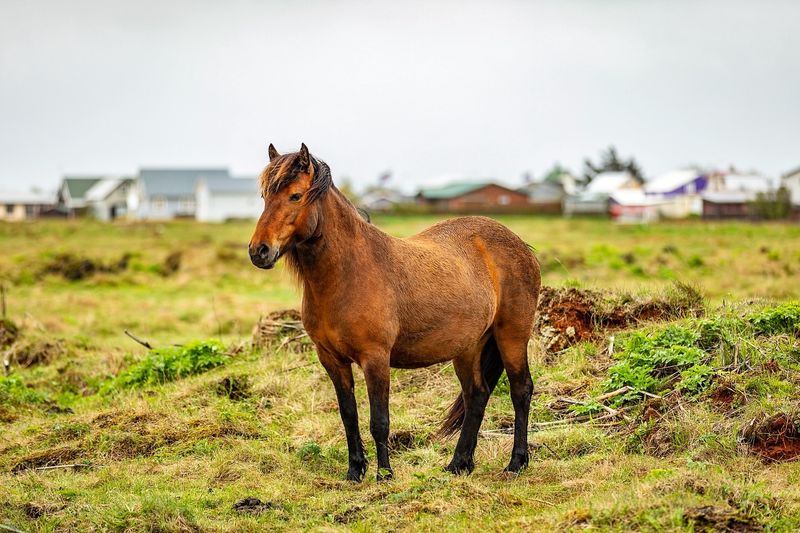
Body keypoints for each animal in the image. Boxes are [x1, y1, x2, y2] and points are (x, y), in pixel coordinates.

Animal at [247, 143, 540, 480]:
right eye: (264, 197)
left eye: (295, 196)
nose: (259, 251)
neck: (347, 274)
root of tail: (519, 245)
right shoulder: (331, 359)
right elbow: (349, 416)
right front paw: (354, 471)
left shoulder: (375, 358)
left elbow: (379, 421)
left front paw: (384, 474)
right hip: (469, 347)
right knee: (476, 395)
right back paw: (458, 464)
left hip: (511, 336)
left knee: (520, 390)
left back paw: (516, 462)